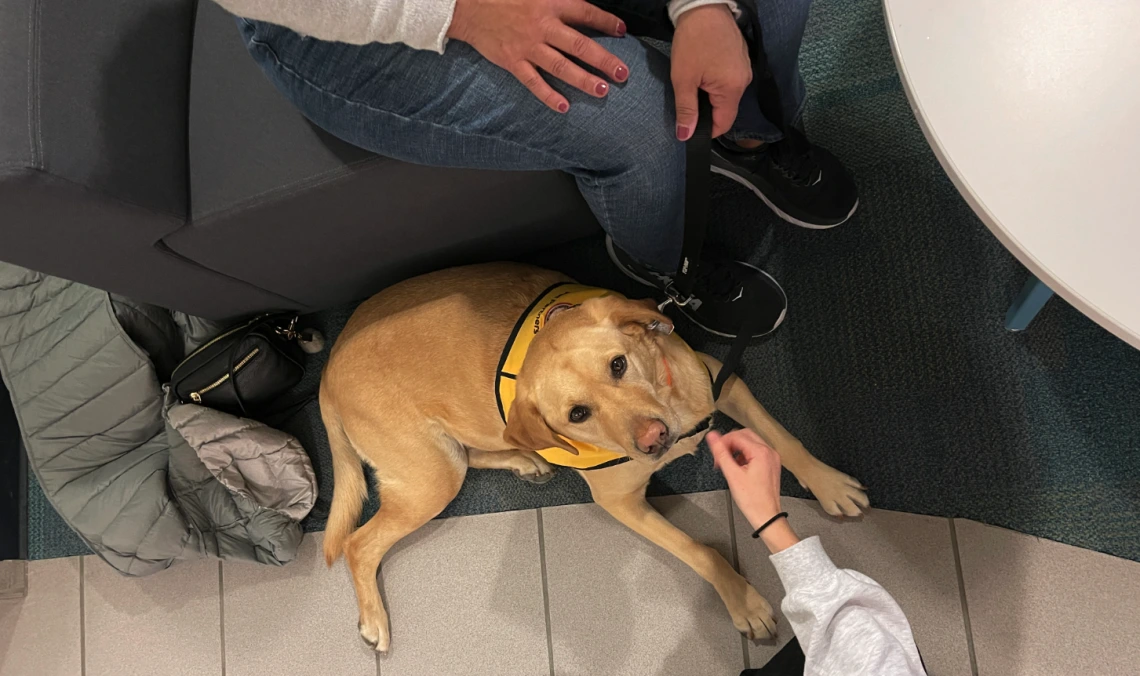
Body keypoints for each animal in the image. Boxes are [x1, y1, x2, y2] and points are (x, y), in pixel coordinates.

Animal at [316, 261, 866, 652]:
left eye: (618, 365)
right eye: (577, 413)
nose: (655, 439)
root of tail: (327, 370)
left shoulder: (721, 380)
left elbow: (784, 439)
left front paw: (829, 484)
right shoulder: (621, 504)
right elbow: (700, 551)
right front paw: (743, 601)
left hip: (449, 457)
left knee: (476, 452)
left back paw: (526, 461)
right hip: (431, 477)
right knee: (359, 544)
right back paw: (374, 620)